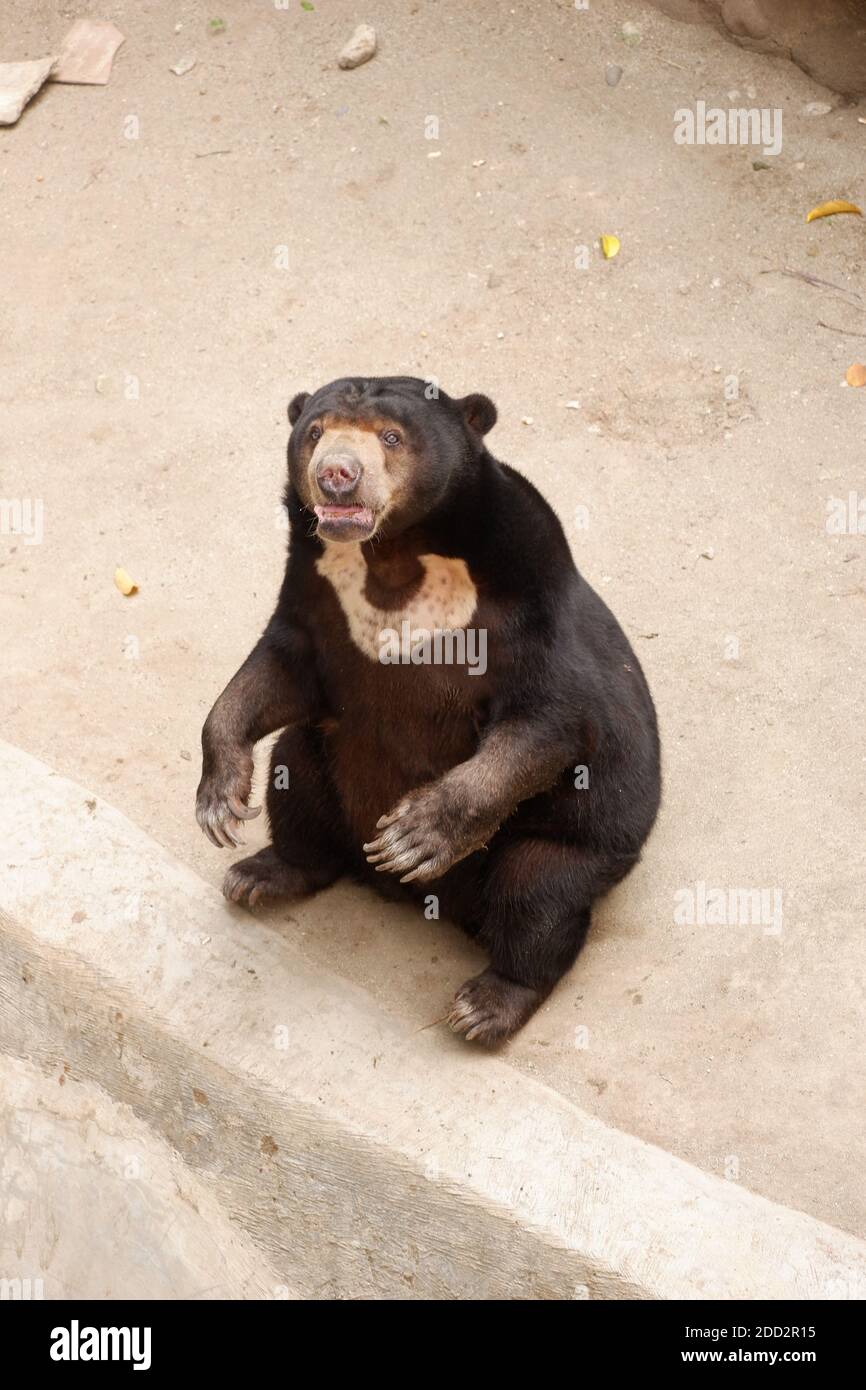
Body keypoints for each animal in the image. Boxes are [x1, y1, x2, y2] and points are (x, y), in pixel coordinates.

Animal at [195, 375, 661, 1045]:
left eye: (391, 436)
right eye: (315, 431)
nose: (336, 475)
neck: (392, 552)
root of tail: (419, 901)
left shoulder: (527, 602)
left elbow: (549, 719)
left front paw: (413, 835)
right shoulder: (314, 590)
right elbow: (278, 670)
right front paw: (219, 801)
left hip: (579, 839)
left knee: (537, 895)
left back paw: (487, 1003)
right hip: (323, 765)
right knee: (297, 777)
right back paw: (263, 873)